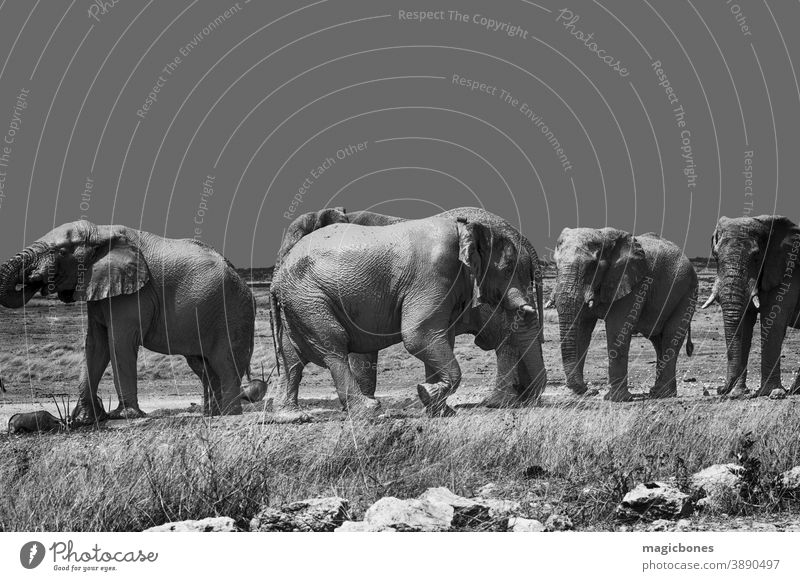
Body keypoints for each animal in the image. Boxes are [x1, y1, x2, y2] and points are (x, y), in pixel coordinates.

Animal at [0, 220, 255, 424]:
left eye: (61, 251)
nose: (33, 279)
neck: (100, 232)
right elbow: (96, 345)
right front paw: (85, 419)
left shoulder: (134, 294)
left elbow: (119, 342)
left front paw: (123, 416)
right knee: (203, 366)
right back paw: (212, 415)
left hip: (232, 313)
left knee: (225, 363)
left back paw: (229, 415)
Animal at [272, 213, 548, 416]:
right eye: (509, 268)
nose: (533, 401)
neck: (467, 230)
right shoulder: (433, 274)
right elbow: (419, 335)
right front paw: (429, 396)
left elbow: (435, 337)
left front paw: (438, 409)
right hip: (308, 296)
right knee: (332, 346)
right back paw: (369, 411)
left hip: (301, 300)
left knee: (292, 354)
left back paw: (293, 416)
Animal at [552, 229, 696, 402]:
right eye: (555, 265)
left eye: (592, 266)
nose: (590, 390)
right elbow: (581, 330)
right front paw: (578, 394)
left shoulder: (632, 283)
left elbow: (617, 329)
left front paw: (615, 399)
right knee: (658, 340)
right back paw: (657, 393)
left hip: (687, 292)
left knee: (670, 338)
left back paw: (663, 394)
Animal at [704, 215, 796, 396]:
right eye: (716, 256)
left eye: (757, 256)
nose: (720, 389)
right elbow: (745, 324)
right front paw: (738, 393)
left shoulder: (787, 273)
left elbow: (773, 321)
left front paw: (772, 392)